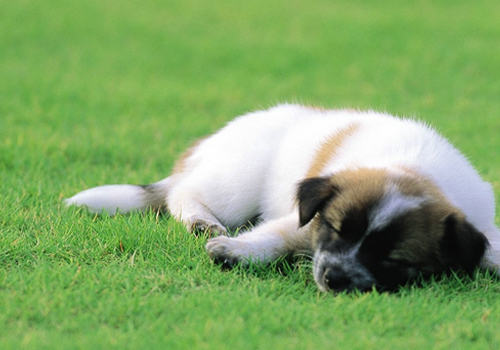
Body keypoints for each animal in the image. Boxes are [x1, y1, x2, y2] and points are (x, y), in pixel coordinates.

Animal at [65, 104, 500, 292]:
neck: (420, 171)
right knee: (183, 193)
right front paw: (234, 251)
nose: (333, 279)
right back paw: (202, 220)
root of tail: (207, 145)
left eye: (395, 260)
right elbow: (275, 235)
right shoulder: (307, 218)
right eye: (337, 230)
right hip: (236, 182)